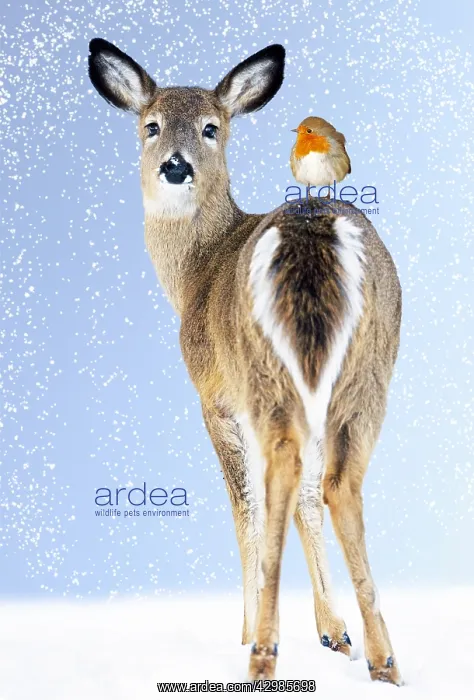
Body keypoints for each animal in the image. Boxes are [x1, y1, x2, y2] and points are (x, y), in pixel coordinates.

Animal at [88, 38, 403, 685]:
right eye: (151, 125)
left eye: (212, 127)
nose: (175, 165)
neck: (195, 273)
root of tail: (309, 238)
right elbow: (306, 499)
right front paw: (335, 633)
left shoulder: (213, 396)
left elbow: (245, 506)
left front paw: (251, 628)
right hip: (368, 366)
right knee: (336, 482)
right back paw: (384, 659)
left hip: (263, 371)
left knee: (281, 475)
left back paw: (263, 650)